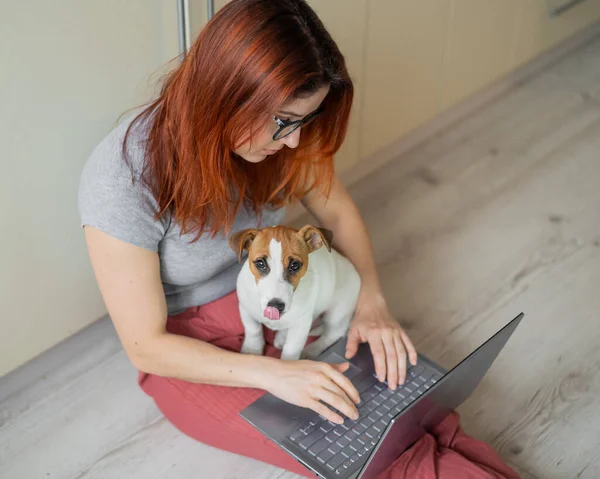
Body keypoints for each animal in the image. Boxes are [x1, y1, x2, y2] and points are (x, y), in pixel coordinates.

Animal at [229, 225, 360, 360]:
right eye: (260, 263)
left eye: (295, 265)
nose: (276, 306)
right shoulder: (245, 307)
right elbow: (253, 329)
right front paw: (251, 350)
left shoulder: (301, 324)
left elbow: (291, 349)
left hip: (337, 313)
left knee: (334, 333)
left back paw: (310, 350)